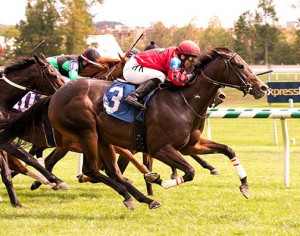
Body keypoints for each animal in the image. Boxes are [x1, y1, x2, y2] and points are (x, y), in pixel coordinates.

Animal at [0, 46, 268, 208]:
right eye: (240, 66)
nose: (262, 88)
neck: (185, 100)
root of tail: (56, 95)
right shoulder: (161, 147)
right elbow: (189, 171)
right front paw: (161, 181)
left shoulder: (191, 144)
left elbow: (228, 150)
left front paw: (244, 186)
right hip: (86, 133)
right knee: (90, 168)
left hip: (100, 139)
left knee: (108, 171)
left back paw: (137, 198)